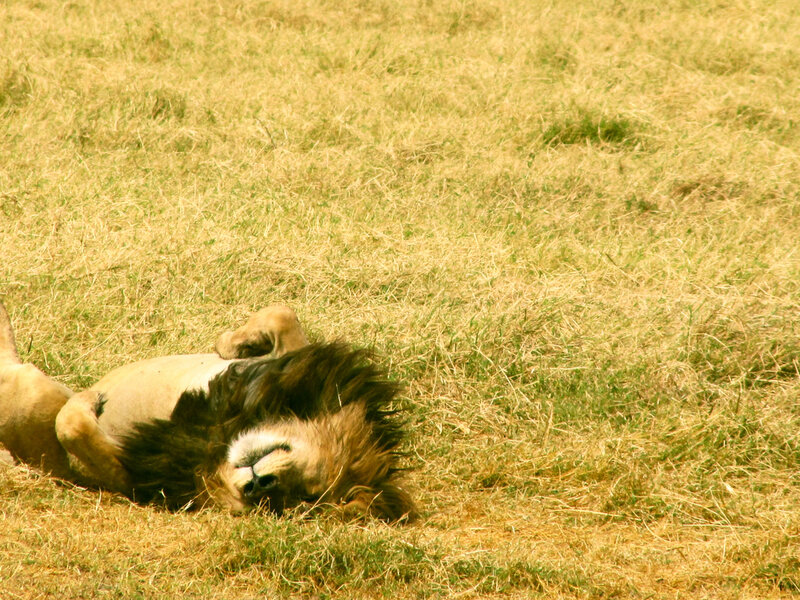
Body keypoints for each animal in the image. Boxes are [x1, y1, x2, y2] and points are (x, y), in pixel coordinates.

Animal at [0, 301, 415, 521]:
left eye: (305, 497)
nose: (262, 486)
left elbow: (73, 428)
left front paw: (93, 410)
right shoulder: (293, 369)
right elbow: (282, 315)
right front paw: (234, 344)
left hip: (33, 387)